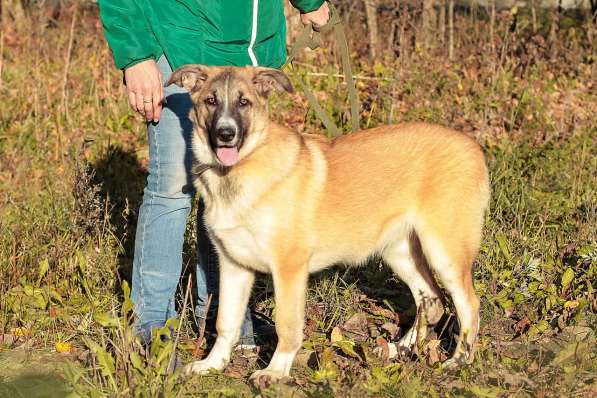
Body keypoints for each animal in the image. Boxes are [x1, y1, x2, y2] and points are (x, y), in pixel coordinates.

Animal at [166, 64, 488, 382]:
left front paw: (275, 371)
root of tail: (473, 146)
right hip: (400, 250)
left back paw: (458, 361)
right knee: (431, 299)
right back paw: (401, 348)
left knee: (468, 304)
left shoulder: (289, 268)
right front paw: (213, 364)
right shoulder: (234, 265)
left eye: (244, 102)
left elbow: (286, 325)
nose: (225, 134)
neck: (236, 171)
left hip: (444, 251)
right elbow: (226, 322)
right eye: (211, 101)